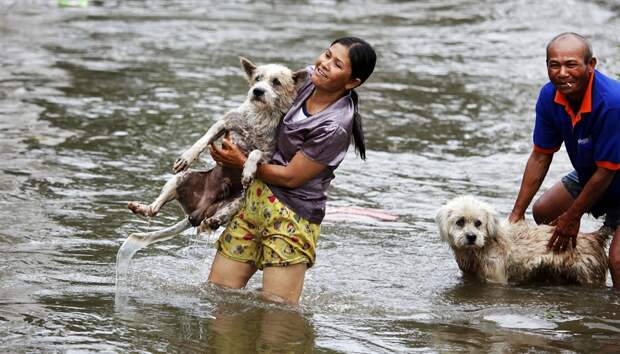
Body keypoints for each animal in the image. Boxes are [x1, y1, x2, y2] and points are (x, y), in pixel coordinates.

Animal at [436, 195, 612, 286]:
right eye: (460, 222)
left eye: (478, 223)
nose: (471, 237)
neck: (483, 247)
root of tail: (594, 237)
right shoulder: (470, 275)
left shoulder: (495, 276)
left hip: (590, 275)